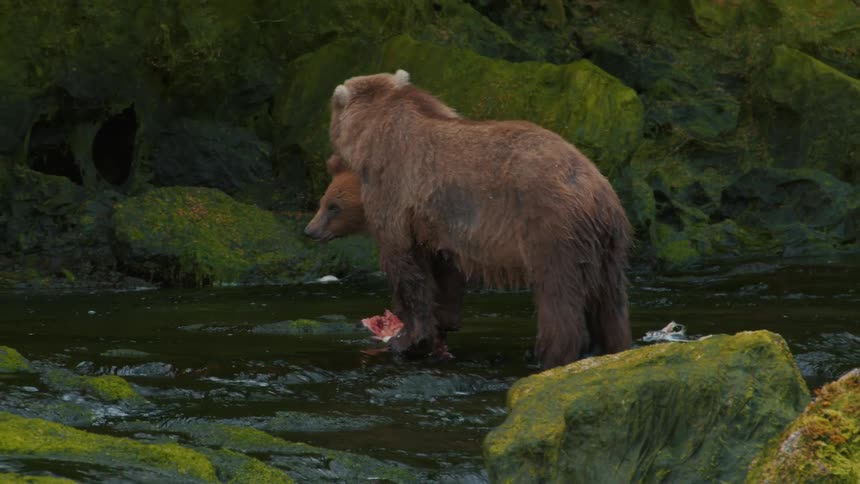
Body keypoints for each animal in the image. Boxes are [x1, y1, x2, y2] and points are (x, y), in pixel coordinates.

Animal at [327, 70, 633, 369]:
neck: (371, 131)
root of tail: (596, 190)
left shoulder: (393, 189)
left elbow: (403, 262)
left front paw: (408, 340)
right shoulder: (438, 220)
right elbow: (444, 269)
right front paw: (442, 327)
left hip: (552, 230)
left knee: (557, 295)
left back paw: (549, 357)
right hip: (608, 244)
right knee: (610, 302)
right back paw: (612, 347)